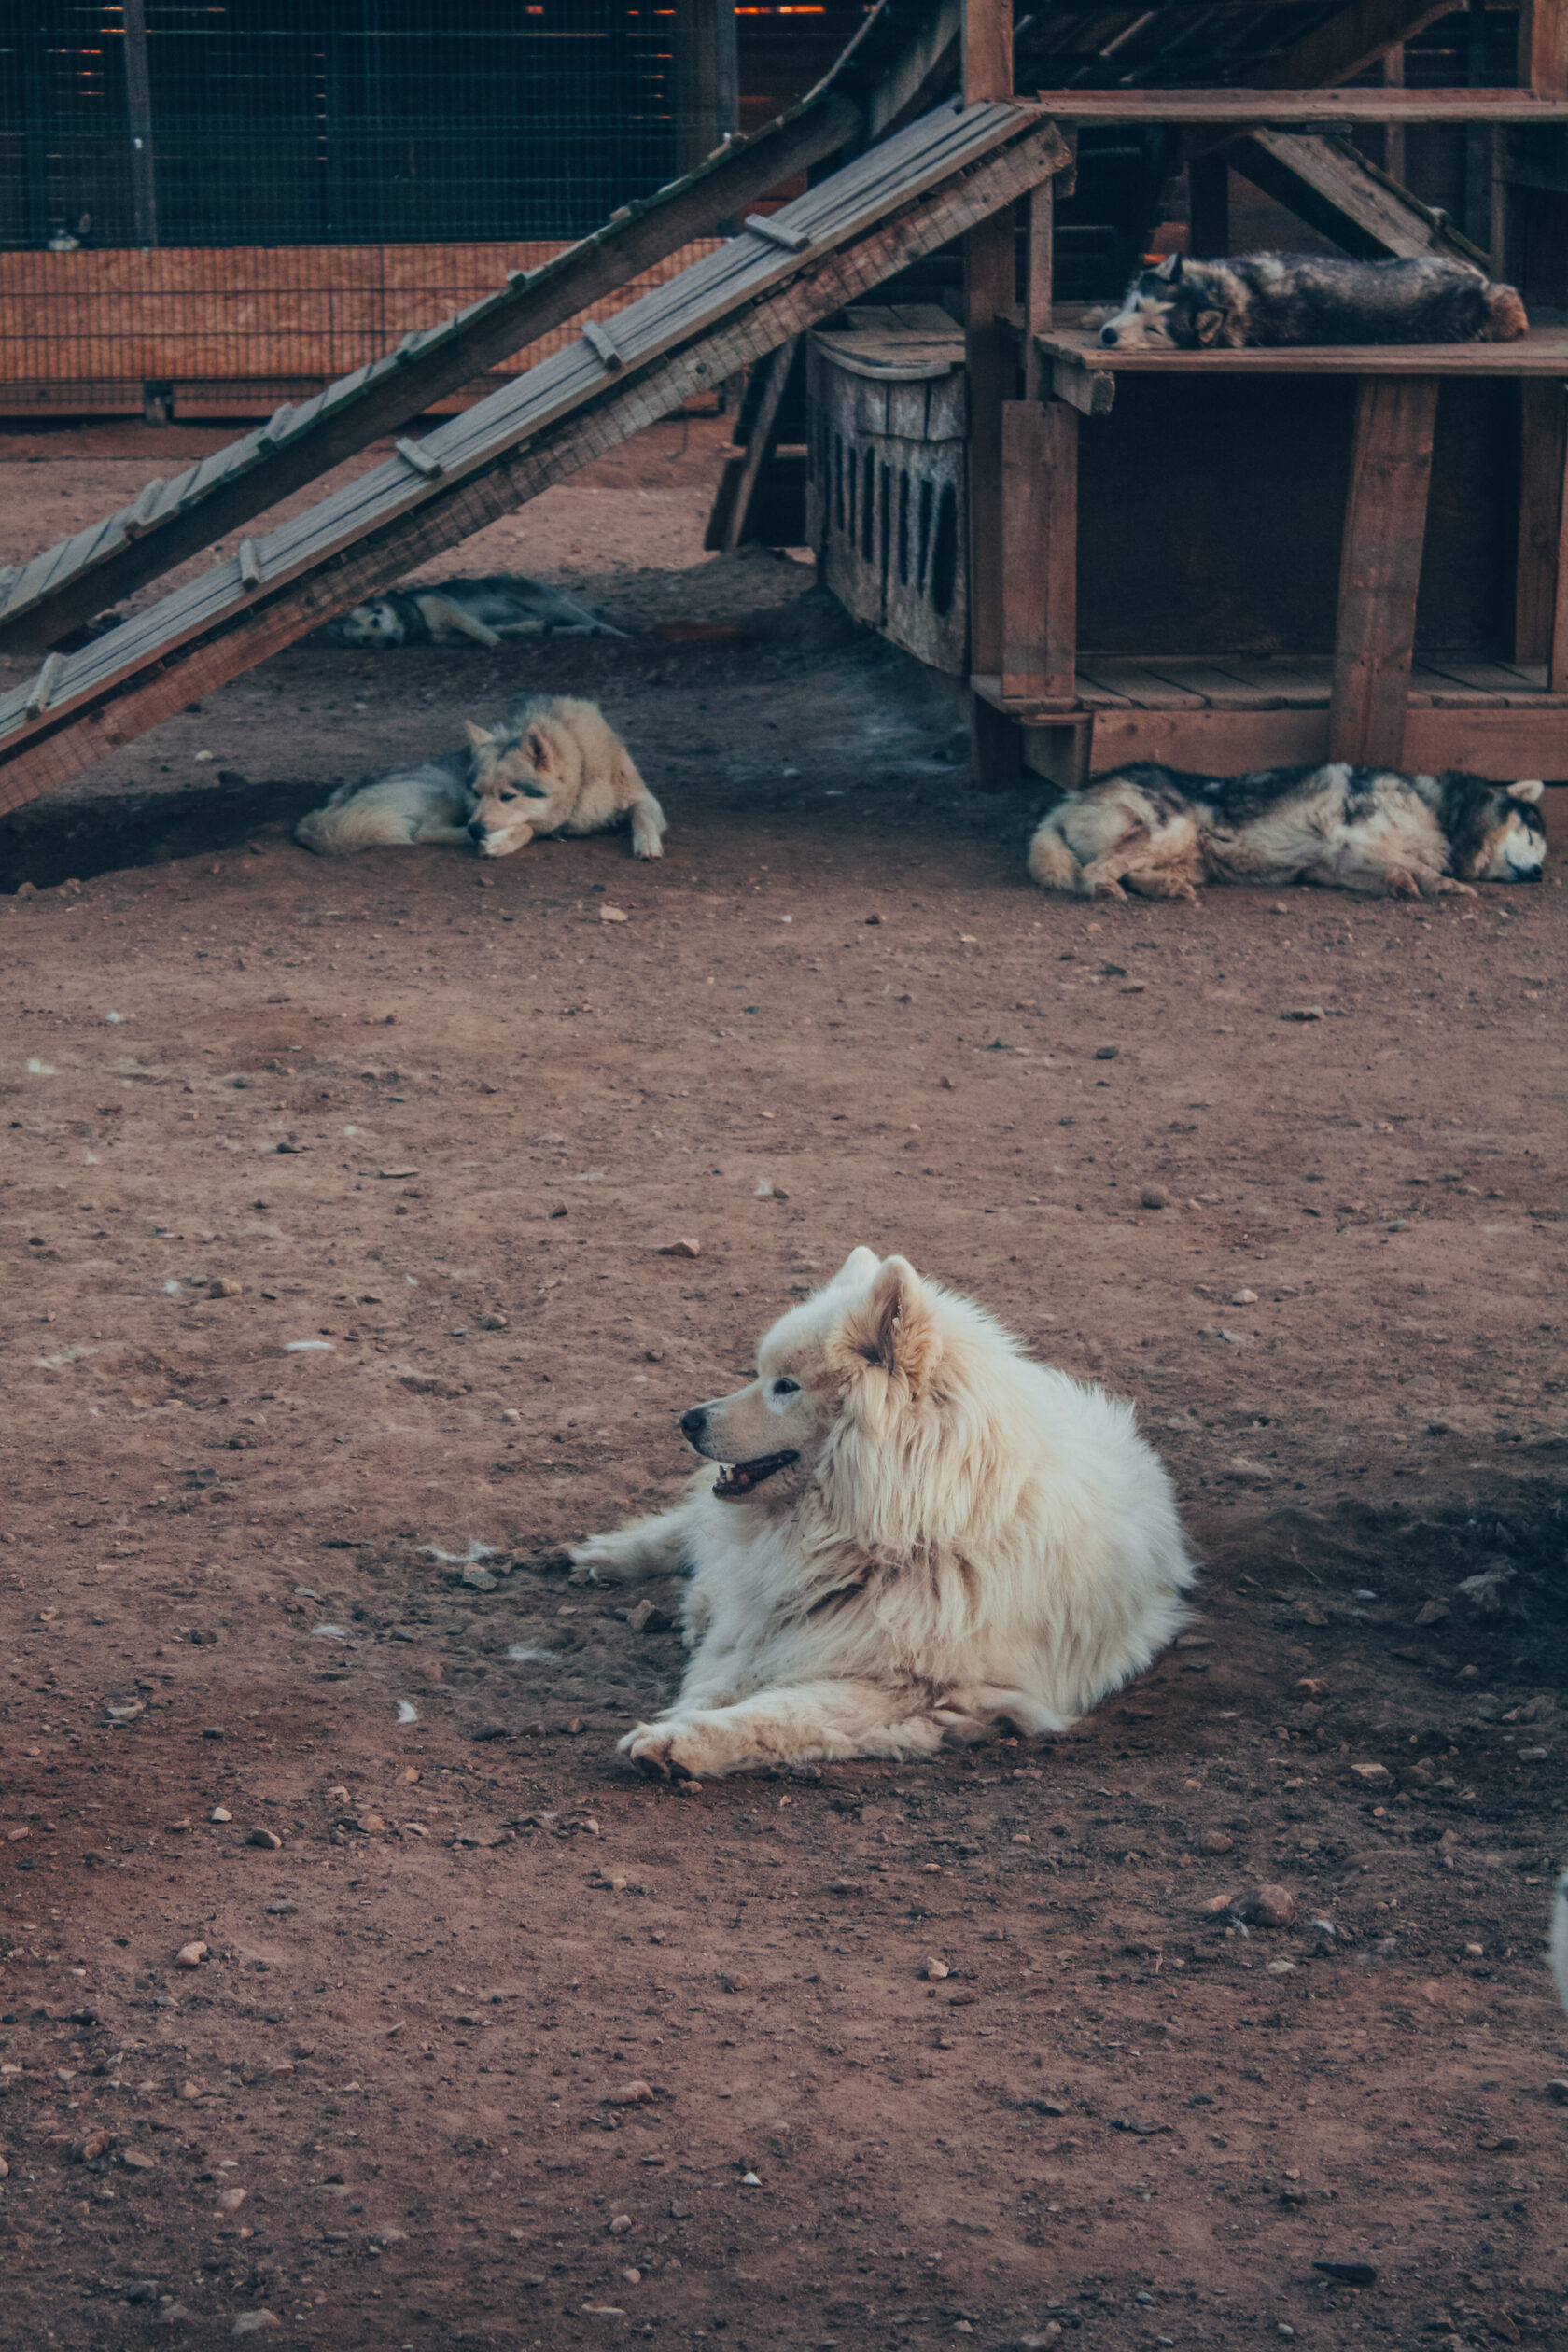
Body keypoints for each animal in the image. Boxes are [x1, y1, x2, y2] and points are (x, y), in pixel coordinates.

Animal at [571, 1260, 1194, 1769]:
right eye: (760, 1374)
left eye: (785, 1386)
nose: (688, 1419)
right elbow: (726, 1672)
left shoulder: (927, 1690)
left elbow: (782, 1710)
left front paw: (681, 1741)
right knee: (691, 1528)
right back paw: (606, 1556)